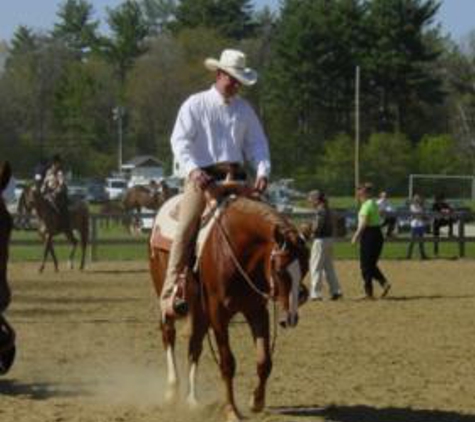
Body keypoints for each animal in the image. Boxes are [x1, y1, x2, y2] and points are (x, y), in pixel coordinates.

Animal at [151, 195, 310, 422]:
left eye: (304, 268)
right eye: (280, 270)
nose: (290, 317)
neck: (237, 251)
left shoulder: (256, 311)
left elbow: (264, 360)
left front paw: (256, 401)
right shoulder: (218, 314)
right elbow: (227, 363)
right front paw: (231, 411)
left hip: (200, 310)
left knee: (195, 345)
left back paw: (193, 400)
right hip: (167, 297)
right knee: (168, 335)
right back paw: (172, 391)